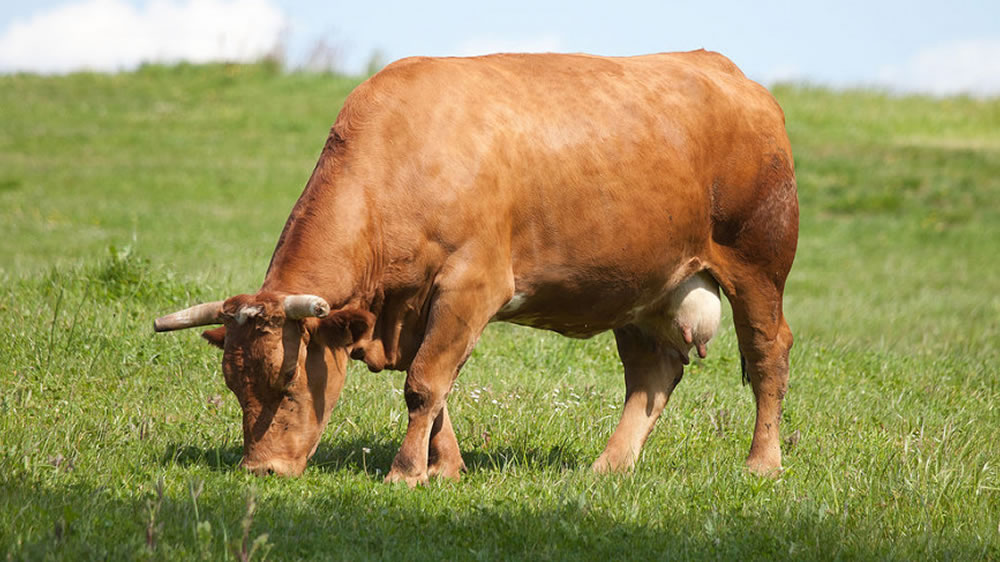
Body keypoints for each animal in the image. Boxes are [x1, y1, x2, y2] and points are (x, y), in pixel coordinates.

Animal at [154, 50, 796, 484]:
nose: (260, 470)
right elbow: (435, 389)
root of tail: (728, 71)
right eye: (233, 384)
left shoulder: (472, 285)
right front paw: (446, 468)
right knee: (652, 376)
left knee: (768, 355)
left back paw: (762, 463)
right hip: (641, 288)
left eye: (287, 383)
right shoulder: (413, 307)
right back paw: (608, 467)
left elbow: (423, 383)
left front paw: (405, 471)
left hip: (758, 265)